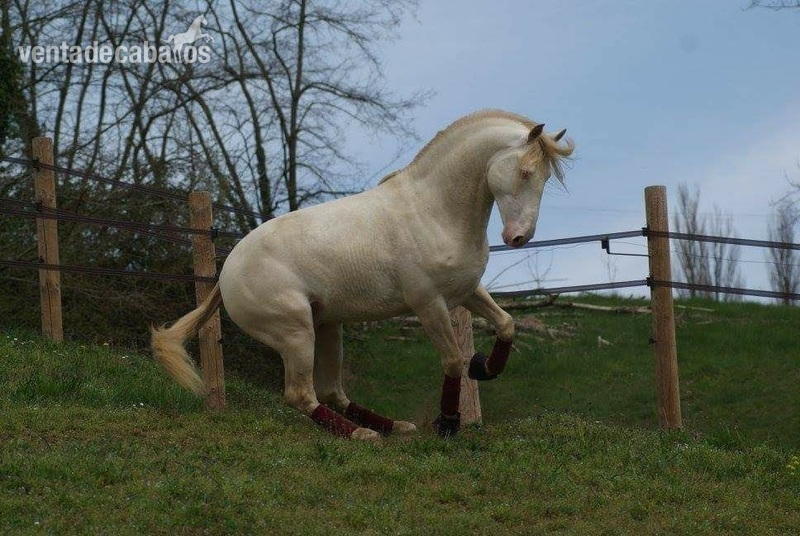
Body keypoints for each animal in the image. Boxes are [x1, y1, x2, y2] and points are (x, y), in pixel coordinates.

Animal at [151, 109, 574, 440]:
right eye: (525, 172)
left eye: (544, 179)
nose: (518, 237)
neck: (433, 211)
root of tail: (226, 273)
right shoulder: (428, 304)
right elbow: (453, 361)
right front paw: (448, 424)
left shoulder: (466, 292)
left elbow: (507, 325)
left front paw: (483, 367)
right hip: (295, 332)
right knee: (301, 395)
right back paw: (361, 434)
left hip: (327, 327)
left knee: (332, 392)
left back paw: (390, 427)